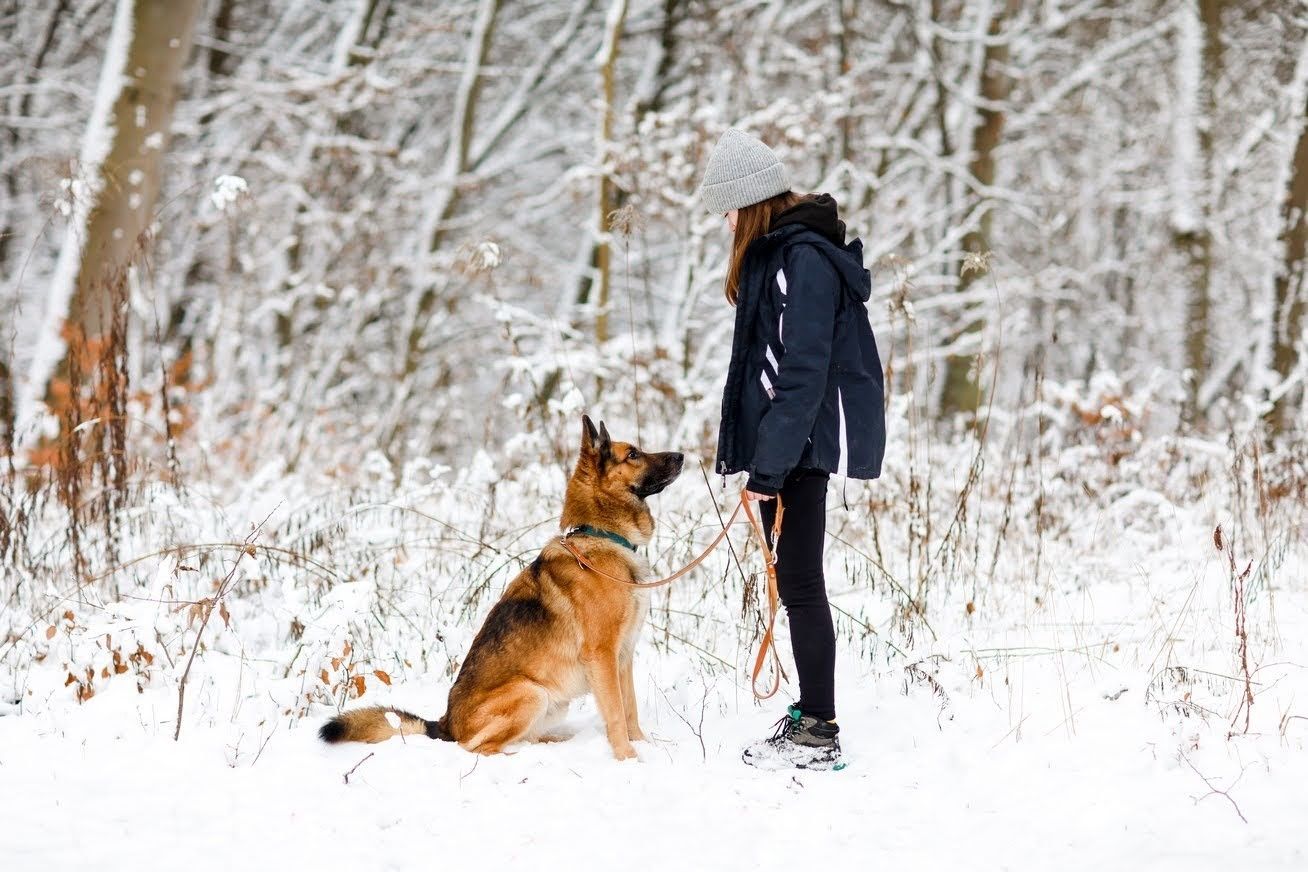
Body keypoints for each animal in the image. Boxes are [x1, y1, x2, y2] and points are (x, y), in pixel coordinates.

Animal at [320, 415, 685, 758]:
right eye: (633, 454)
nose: (681, 455)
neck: (600, 536)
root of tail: (445, 724)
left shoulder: (623, 656)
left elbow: (630, 710)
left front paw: (643, 747)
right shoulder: (603, 656)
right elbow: (616, 715)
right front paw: (628, 758)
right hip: (530, 692)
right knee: (477, 747)